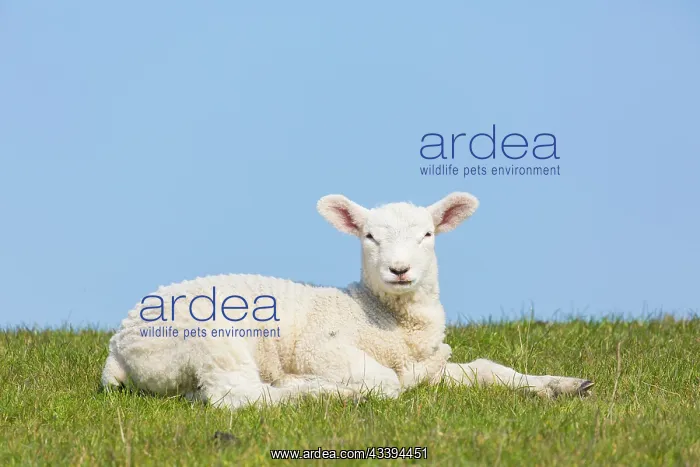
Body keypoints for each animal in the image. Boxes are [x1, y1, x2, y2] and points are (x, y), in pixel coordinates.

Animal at [101, 192, 593, 409]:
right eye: (369, 236)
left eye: (427, 234)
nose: (400, 270)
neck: (381, 316)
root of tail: (118, 346)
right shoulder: (324, 348)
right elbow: (390, 381)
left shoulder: (428, 358)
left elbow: (488, 371)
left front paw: (562, 385)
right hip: (212, 339)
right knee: (237, 395)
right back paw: (315, 391)